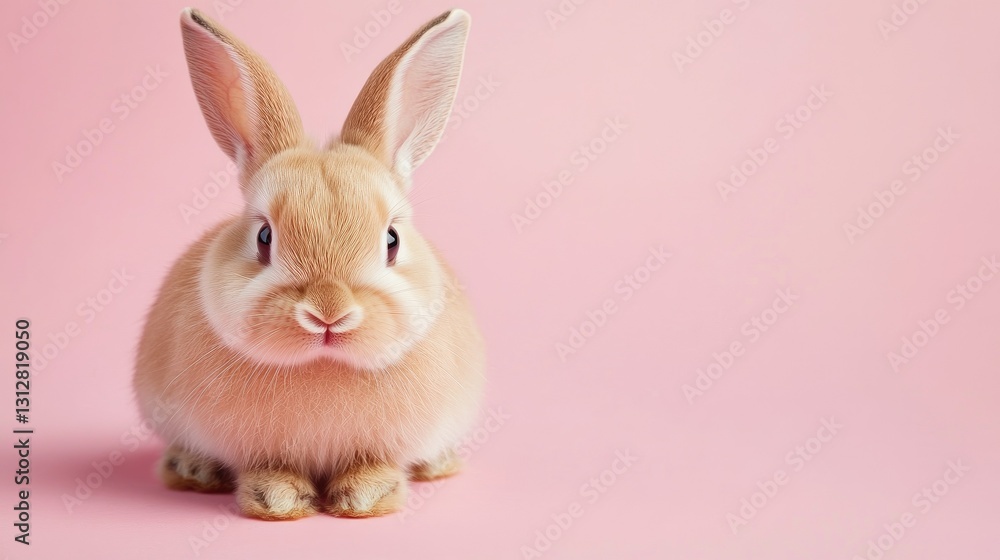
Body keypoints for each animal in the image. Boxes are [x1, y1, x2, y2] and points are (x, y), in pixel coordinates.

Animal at [132, 7, 486, 520]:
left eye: (392, 240)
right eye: (264, 237)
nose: (328, 313)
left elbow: (372, 464)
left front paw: (365, 497)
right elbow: (272, 468)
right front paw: (277, 499)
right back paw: (192, 469)